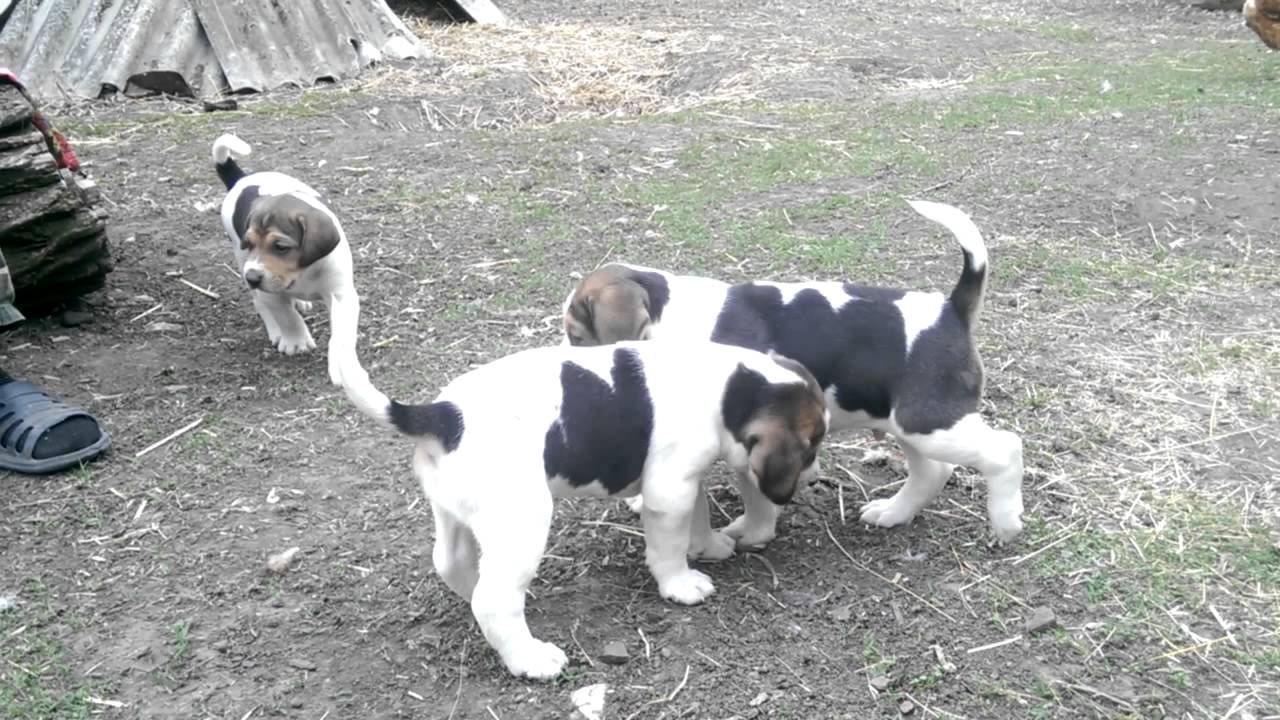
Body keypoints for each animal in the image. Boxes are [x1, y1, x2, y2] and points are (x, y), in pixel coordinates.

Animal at [212, 131, 358, 384]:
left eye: (280, 247)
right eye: (250, 243)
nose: (252, 278)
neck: (303, 273)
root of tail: (241, 179)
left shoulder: (341, 292)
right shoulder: (268, 291)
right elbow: (286, 315)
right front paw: (296, 342)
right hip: (243, 263)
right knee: (261, 304)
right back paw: (276, 330)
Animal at [335, 338, 824, 676]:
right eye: (813, 444)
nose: (816, 473)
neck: (727, 388)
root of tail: (443, 414)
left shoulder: (682, 478)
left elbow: (697, 517)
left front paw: (707, 546)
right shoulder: (669, 490)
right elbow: (668, 549)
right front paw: (680, 584)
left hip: (455, 511)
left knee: (453, 565)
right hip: (524, 518)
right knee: (493, 601)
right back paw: (530, 659)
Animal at [565, 196, 1024, 543]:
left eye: (574, 334)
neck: (670, 316)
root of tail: (952, 310)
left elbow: (757, 498)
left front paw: (750, 533)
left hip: (928, 420)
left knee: (1004, 450)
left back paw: (1005, 522)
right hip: (907, 423)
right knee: (934, 471)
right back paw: (893, 512)